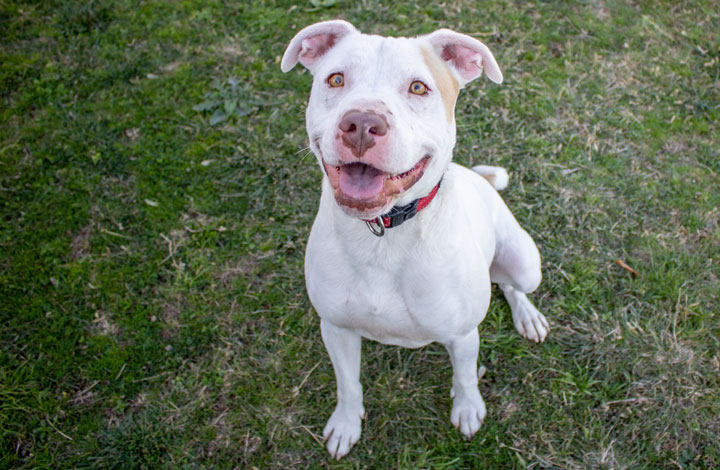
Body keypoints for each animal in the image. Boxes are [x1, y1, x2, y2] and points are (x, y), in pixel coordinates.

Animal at [282, 20, 552, 458]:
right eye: (336, 79)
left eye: (418, 88)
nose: (362, 124)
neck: (383, 230)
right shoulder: (336, 329)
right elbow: (348, 384)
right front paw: (345, 425)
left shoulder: (462, 335)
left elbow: (465, 377)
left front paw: (468, 410)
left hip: (526, 264)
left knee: (512, 286)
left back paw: (527, 316)